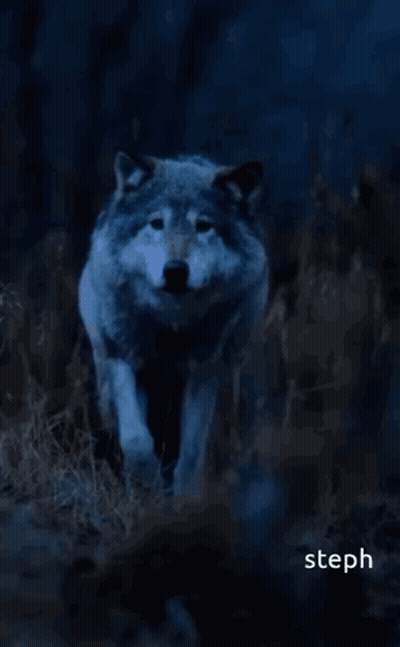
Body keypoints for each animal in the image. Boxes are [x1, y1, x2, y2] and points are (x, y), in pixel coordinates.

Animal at [78, 151, 269, 495]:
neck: (171, 325)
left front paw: (183, 499)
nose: (176, 270)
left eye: (203, 226)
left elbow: (192, 452)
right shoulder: (124, 358)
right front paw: (147, 485)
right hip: (105, 379)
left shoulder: (204, 373)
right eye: (157, 223)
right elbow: (137, 440)